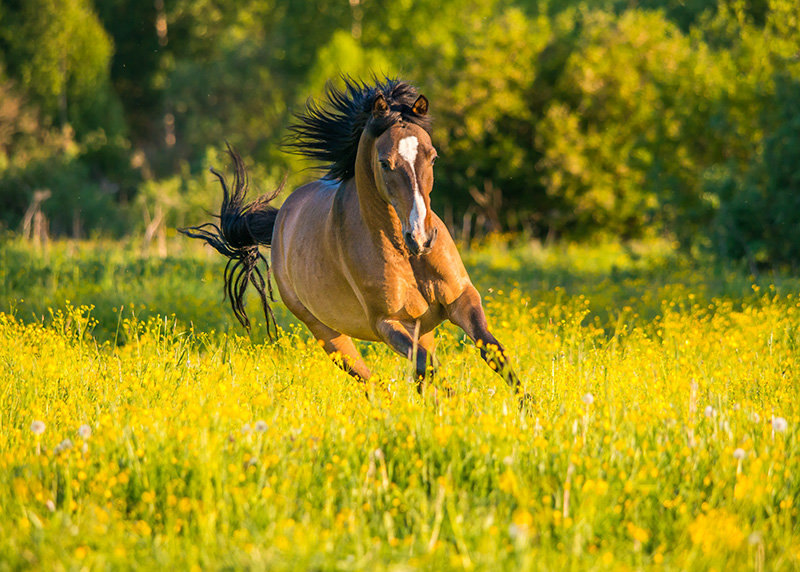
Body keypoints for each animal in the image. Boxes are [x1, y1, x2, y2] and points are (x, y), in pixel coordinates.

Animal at [180, 77, 524, 398]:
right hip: (330, 336)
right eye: (385, 162)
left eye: (433, 157)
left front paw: (526, 408)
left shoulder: (461, 299)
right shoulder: (387, 323)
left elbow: (495, 355)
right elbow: (429, 369)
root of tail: (281, 218)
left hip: (422, 327)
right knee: (373, 383)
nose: (421, 238)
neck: (405, 255)